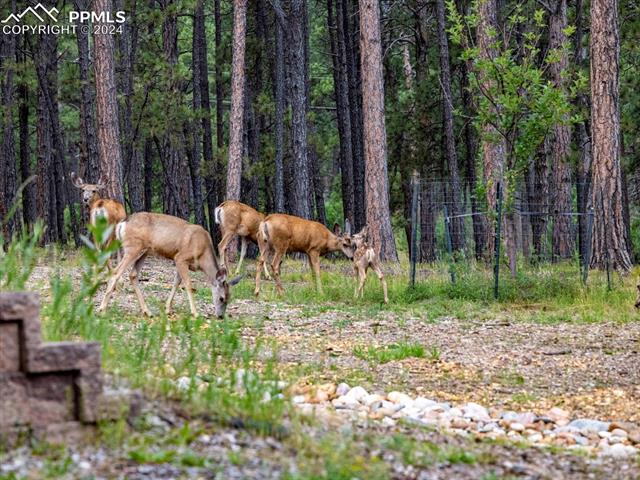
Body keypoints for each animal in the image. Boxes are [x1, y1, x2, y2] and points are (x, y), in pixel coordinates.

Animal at [97, 214, 240, 318]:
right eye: (221, 298)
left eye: (229, 299)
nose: (220, 316)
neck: (202, 255)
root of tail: (122, 224)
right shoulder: (181, 257)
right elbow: (188, 284)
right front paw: (195, 312)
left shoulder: (180, 262)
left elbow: (176, 282)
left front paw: (167, 309)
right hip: (133, 247)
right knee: (116, 272)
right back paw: (102, 309)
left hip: (144, 251)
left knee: (133, 275)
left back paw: (147, 311)